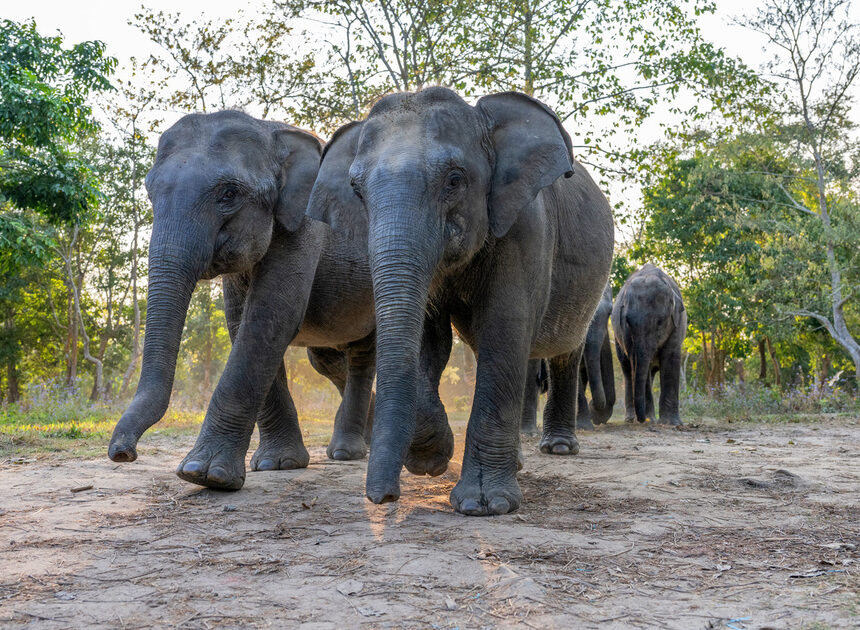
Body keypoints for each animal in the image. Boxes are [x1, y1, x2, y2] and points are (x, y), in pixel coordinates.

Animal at [612, 264, 684, 428]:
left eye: (660, 322)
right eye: (628, 321)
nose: (642, 419)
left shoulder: (678, 324)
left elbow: (670, 358)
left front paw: (672, 423)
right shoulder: (626, 333)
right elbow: (637, 362)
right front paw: (650, 419)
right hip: (618, 342)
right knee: (628, 371)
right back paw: (631, 418)